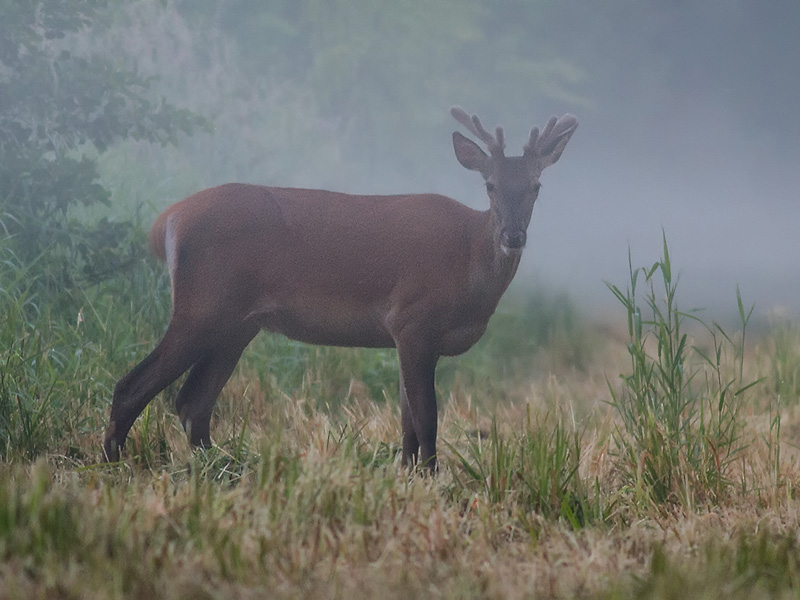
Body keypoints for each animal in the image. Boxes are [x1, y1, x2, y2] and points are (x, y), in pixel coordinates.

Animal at [103, 110, 580, 472]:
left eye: (536, 186)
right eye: (490, 185)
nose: (513, 235)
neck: (468, 262)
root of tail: (167, 220)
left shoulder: (403, 335)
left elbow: (407, 421)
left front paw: (408, 475)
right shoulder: (413, 318)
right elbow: (426, 419)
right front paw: (432, 479)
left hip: (237, 324)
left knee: (192, 402)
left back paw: (224, 469)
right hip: (202, 305)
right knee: (132, 387)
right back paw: (112, 465)